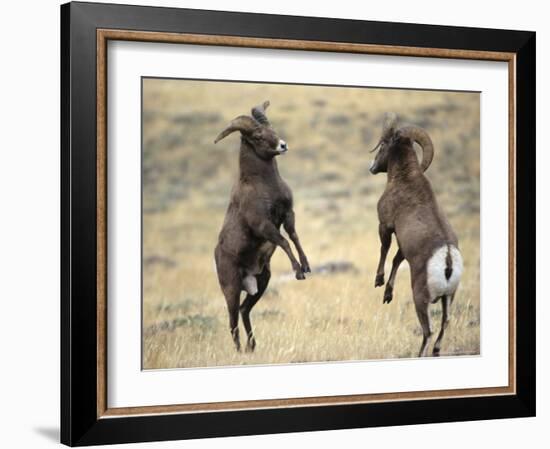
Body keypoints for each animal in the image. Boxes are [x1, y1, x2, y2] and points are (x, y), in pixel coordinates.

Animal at [215, 100, 310, 350]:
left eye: (271, 128)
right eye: (257, 136)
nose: (282, 145)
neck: (265, 185)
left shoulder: (288, 214)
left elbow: (294, 237)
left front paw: (306, 266)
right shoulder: (263, 225)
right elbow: (284, 241)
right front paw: (298, 272)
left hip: (261, 283)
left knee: (244, 311)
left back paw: (252, 347)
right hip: (231, 289)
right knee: (232, 320)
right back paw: (240, 351)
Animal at [370, 113, 466, 356]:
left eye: (383, 145)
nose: (372, 167)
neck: (405, 178)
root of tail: (447, 260)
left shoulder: (385, 226)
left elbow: (384, 251)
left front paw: (378, 281)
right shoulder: (404, 246)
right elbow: (396, 260)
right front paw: (387, 295)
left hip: (420, 299)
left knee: (428, 330)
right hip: (449, 298)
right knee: (445, 323)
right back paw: (436, 352)